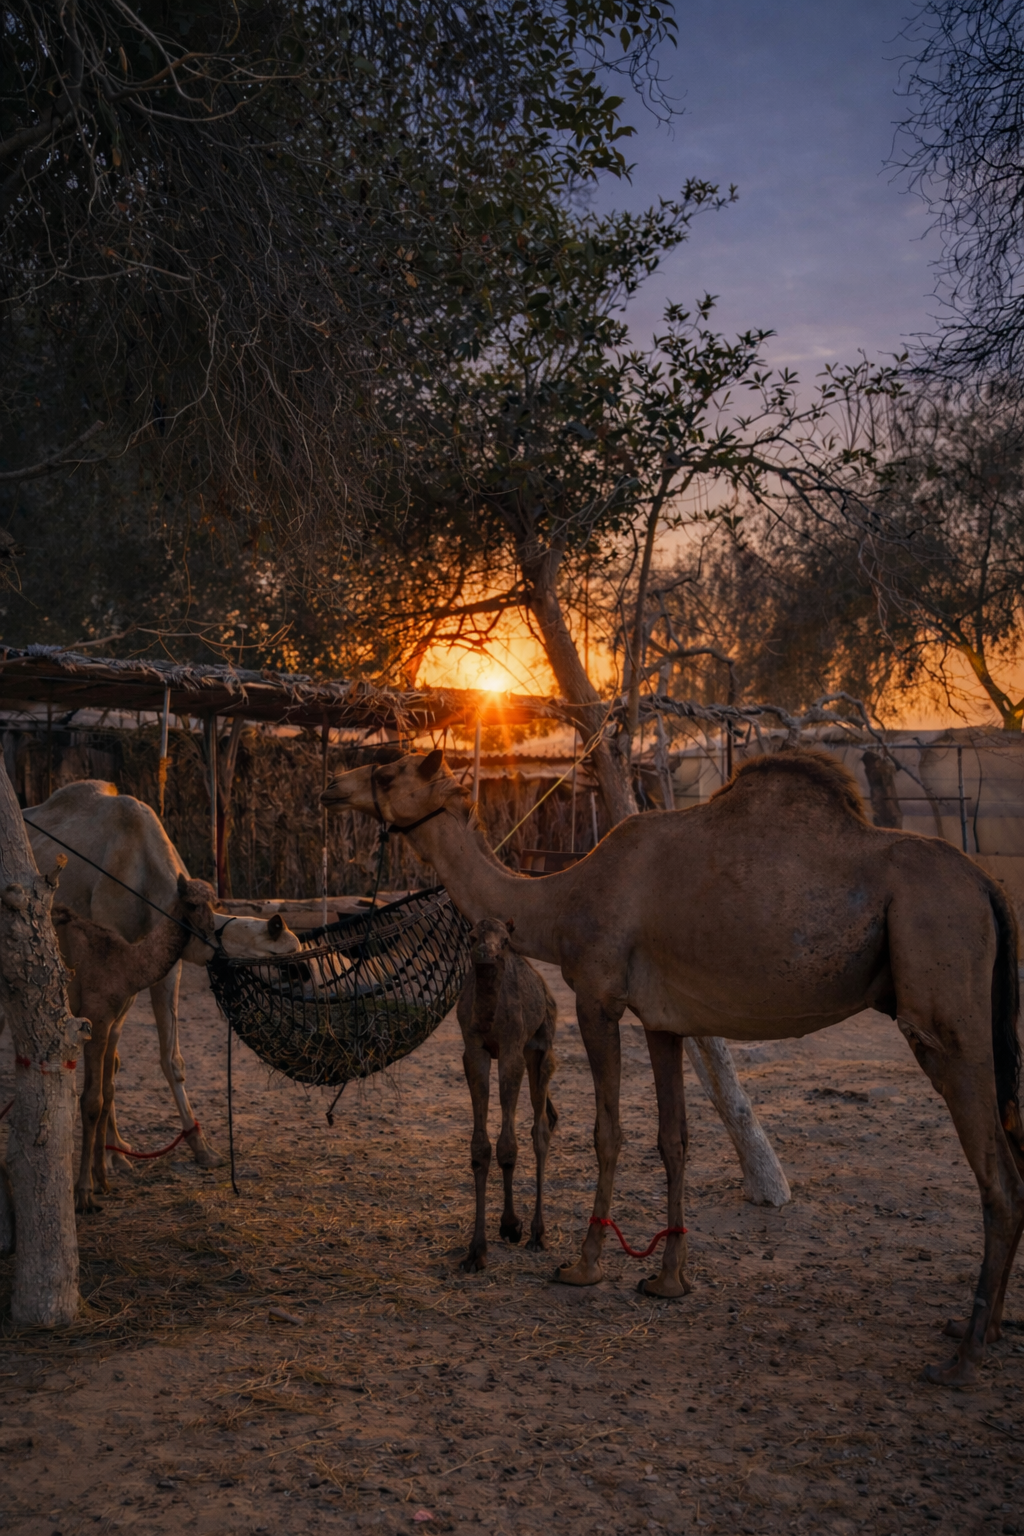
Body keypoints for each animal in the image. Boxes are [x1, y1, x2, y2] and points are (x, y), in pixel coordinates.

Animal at [22, 781, 301, 1169]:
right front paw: (112, 1156)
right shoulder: (111, 958)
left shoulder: (166, 966)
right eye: (287, 963)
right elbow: (112, 1059)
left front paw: (201, 1148)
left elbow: (169, 1059)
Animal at [53, 874, 219, 1213]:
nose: (211, 940)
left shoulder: (113, 1024)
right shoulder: (96, 1019)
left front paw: (103, 1181)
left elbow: (107, 1093)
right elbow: (92, 1101)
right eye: (192, 904)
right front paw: (84, 1194)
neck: (127, 965)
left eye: (216, 902)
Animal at [457, 918, 558, 1270]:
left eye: (504, 940)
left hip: (540, 1045)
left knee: (541, 1129)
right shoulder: (474, 1048)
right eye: (472, 936)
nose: (486, 955)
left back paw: (537, 1234)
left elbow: (507, 1145)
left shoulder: (512, 1049)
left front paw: (512, 1224)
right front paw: (476, 1251)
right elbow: (480, 1148)